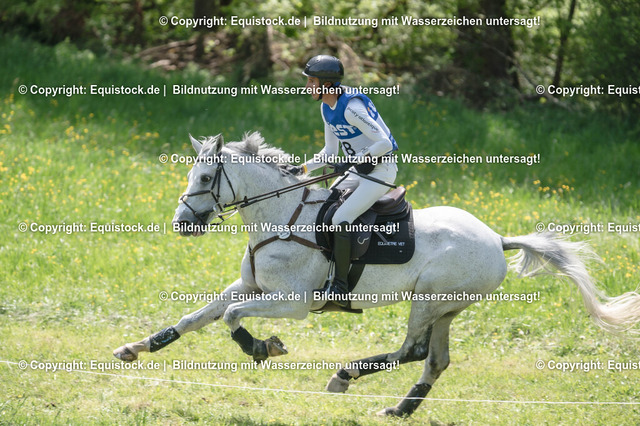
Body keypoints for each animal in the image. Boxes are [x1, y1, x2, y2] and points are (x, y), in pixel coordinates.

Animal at [114, 131, 640, 417]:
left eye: (205, 178)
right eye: (191, 175)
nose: (183, 223)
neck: (280, 217)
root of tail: (498, 239)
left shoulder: (292, 304)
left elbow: (231, 319)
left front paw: (263, 347)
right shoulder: (249, 286)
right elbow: (195, 318)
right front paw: (136, 348)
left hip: (428, 300)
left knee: (413, 351)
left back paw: (344, 376)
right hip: (447, 308)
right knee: (435, 359)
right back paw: (400, 409)